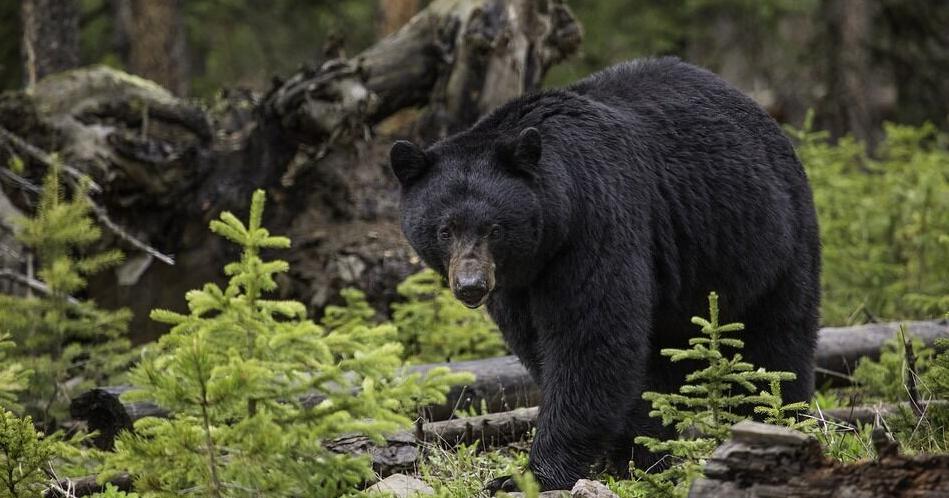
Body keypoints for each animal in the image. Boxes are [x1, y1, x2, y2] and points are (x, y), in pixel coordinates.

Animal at [389, 57, 820, 491]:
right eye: (445, 230)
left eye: (494, 228)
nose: (471, 286)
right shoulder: (517, 283)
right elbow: (540, 345)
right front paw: (626, 454)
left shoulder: (596, 223)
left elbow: (591, 339)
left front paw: (530, 475)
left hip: (767, 241)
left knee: (776, 342)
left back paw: (777, 421)